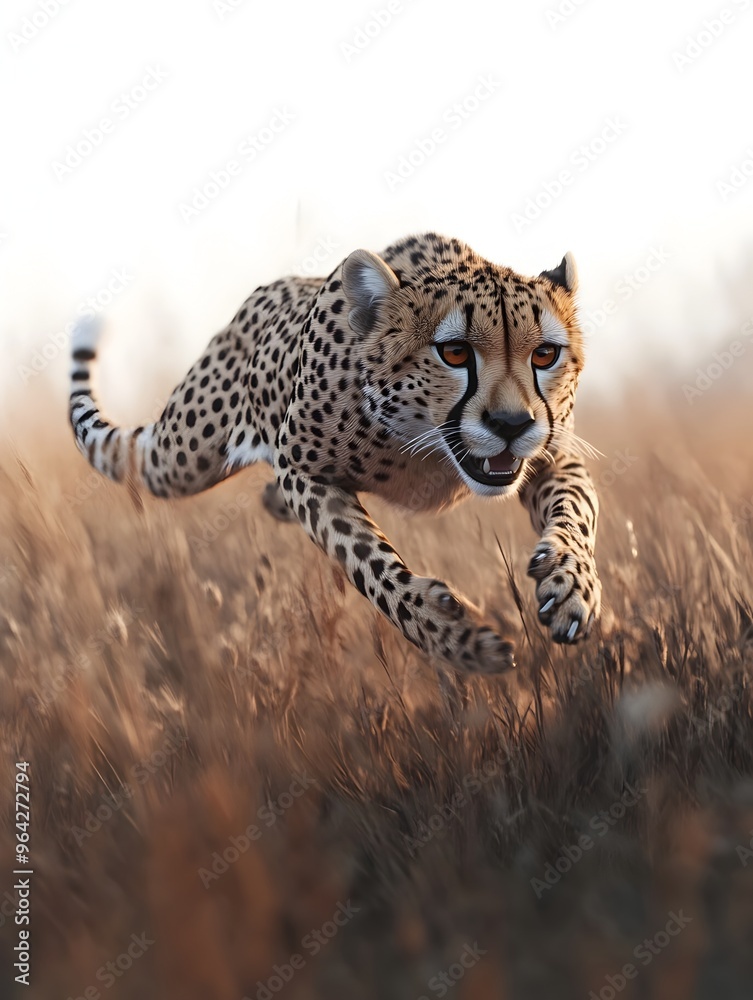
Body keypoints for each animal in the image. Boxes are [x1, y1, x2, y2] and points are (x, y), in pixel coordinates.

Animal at [69, 232, 601, 674]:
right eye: (453, 352)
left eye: (544, 355)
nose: (511, 425)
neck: (428, 448)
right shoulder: (301, 469)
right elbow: (367, 562)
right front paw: (454, 637)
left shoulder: (554, 456)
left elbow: (577, 510)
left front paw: (571, 586)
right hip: (176, 458)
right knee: (124, 452)